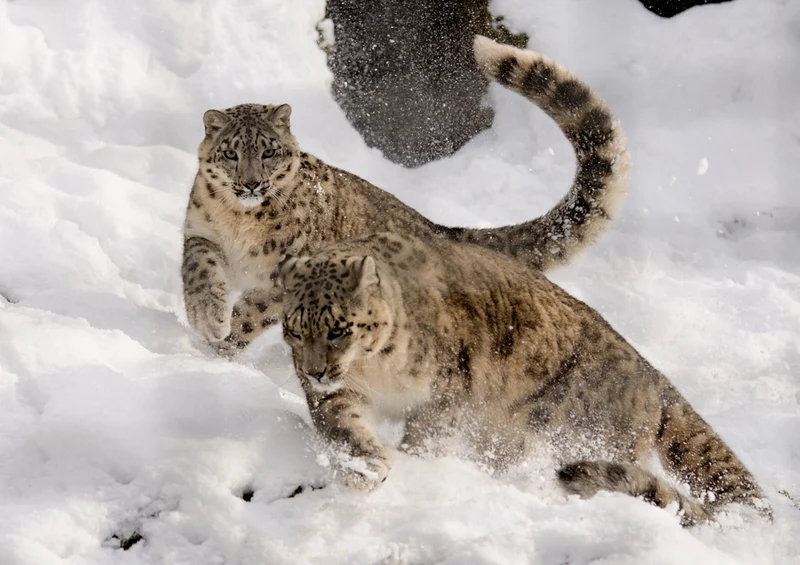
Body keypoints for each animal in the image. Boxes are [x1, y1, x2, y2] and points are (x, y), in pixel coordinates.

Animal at [181, 36, 630, 358]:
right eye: (231, 153)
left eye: (269, 152)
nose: (251, 184)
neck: (241, 224)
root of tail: (437, 228)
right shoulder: (201, 231)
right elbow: (198, 271)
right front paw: (207, 318)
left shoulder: (288, 270)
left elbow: (253, 311)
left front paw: (220, 343)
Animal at [275, 231, 772, 526]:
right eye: (295, 329)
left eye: (338, 329)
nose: (316, 370)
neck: (375, 371)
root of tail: (651, 374)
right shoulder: (340, 394)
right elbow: (345, 425)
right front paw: (366, 468)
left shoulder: (447, 391)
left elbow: (427, 435)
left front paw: (416, 463)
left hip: (579, 436)